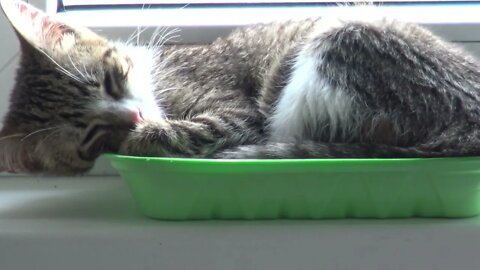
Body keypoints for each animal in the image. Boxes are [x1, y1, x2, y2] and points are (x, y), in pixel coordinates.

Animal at [0, 0, 480, 175]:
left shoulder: (234, 110)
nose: (134, 116)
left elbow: (187, 131)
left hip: (343, 38)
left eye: (111, 81)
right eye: (92, 137)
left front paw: (147, 134)